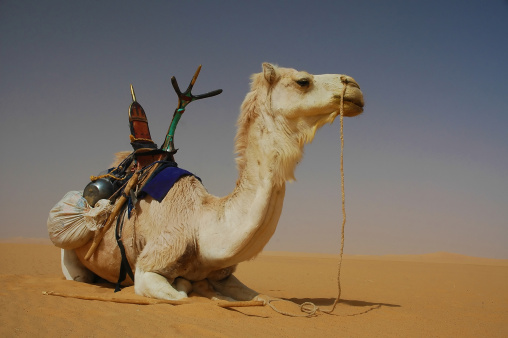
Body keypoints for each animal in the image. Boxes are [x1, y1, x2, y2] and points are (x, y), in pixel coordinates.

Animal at [61, 63, 364, 302]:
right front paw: (191, 286)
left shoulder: (225, 274)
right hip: (71, 257)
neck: (200, 223)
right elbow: (180, 295)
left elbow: (263, 298)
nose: (354, 86)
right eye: (303, 81)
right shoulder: (149, 266)